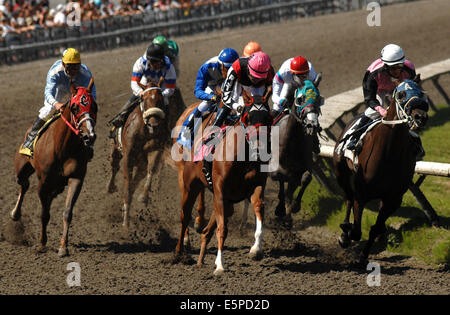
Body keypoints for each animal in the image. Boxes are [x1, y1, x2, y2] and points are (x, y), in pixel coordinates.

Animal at [11, 78, 96, 256]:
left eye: (94, 106)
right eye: (75, 107)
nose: (89, 136)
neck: (63, 147)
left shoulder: (76, 178)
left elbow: (67, 212)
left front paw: (63, 246)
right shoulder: (43, 182)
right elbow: (44, 214)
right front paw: (42, 244)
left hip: (58, 184)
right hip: (22, 169)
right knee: (24, 184)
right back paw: (15, 214)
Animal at [107, 78, 169, 228]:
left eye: (160, 99)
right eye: (143, 99)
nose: (154, 125)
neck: (145, 130)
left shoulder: (156, 150)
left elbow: (151, 169)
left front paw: (144, 196)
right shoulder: (128, 157)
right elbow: (127, 184)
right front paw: (125, 222)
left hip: (140, 165)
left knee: (136, 179)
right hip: (115, 152)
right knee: (114, 168)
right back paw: (110, 187)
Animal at [175, 90, 274, 276]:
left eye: (269, 117)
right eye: (248, 118)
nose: (260, 148)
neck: (243, 158)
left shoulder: (256, 186)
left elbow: (259, 209)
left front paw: (256, 250)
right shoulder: (220, 191)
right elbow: (222, 229)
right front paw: (220, 265)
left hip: (226, 204)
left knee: (206, 232)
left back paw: (200, 261)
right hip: (190, 187)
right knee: (184, 217)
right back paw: (178, 252)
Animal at [334, 80, 428, 266]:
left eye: (422, 93)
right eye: (401, 95)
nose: (420, 117)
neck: (389, 152)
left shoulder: (393, 199)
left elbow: (375, 228)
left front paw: (363, 257)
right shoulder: (361, 193)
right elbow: (356, 230)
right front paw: (347, 232)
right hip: (341, 174)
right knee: (348, 199)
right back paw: (344, 235)